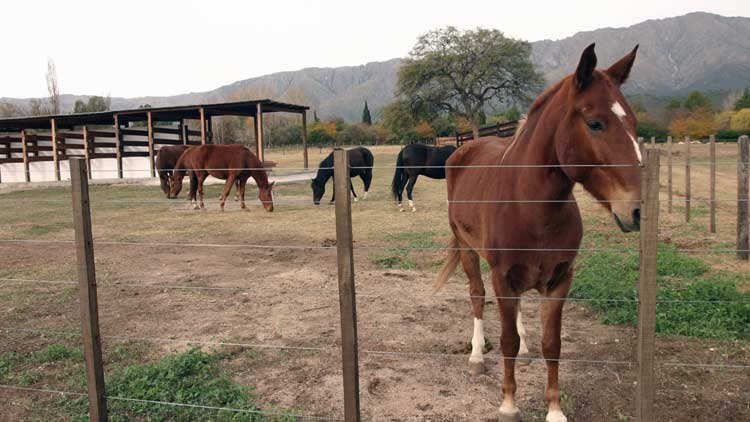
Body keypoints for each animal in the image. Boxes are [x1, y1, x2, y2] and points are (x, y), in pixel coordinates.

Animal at [438, 43, 644, 422]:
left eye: (634, 123)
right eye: (595, 123)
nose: (635, 211)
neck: (530, 207)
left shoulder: (560, 280)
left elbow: (552, 343)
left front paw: (554, 409)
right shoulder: (502, 276)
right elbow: (506, 340)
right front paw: (508, 405)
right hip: (467, 249)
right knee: (477, 296)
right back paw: (476, 357)